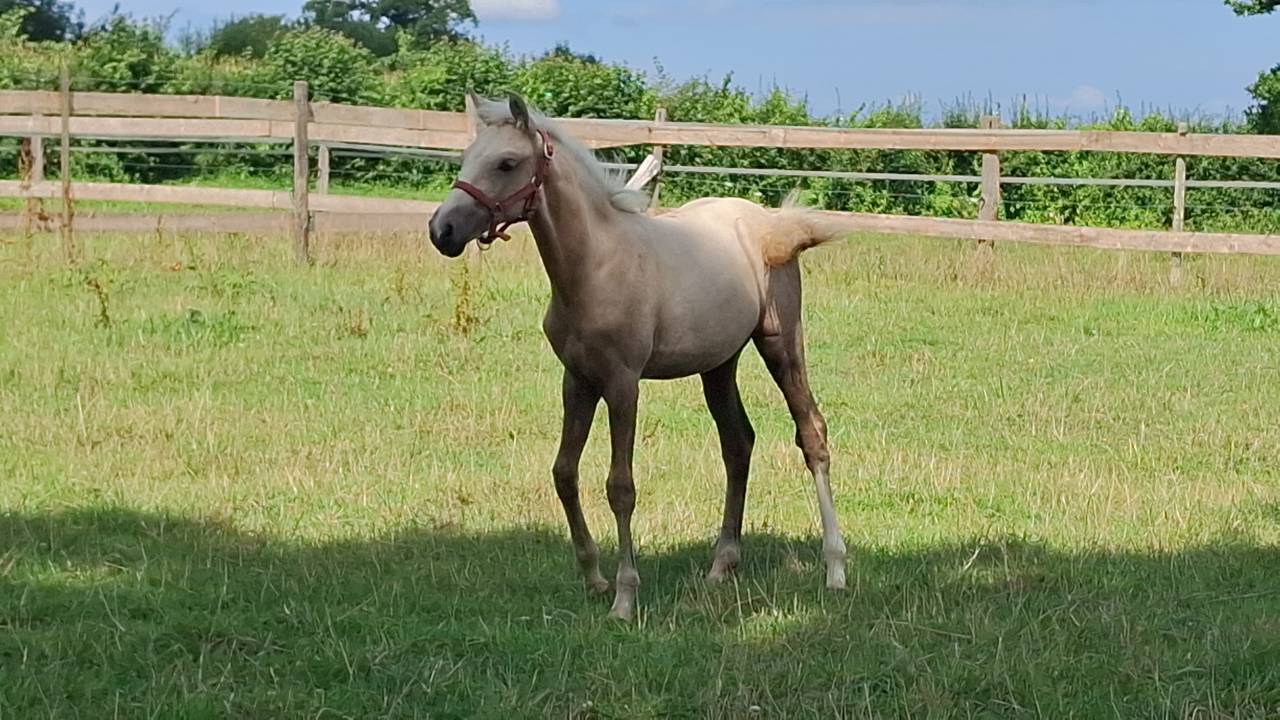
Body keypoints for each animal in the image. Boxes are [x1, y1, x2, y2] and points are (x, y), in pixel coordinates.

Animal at [428, 93, 847, 620]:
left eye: (506, 163)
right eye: (466, 158)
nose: (441, 230)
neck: (595, 267)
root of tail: (770, 222)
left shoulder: (623, 383)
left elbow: (620, 486)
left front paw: (625, 597)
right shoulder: (577, 380)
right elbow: (564, 473)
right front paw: (594, 578)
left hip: (780, 343)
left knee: (811, 433)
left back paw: (835, 568)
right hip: (719, 363)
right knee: (738, 443)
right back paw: (721, 564)